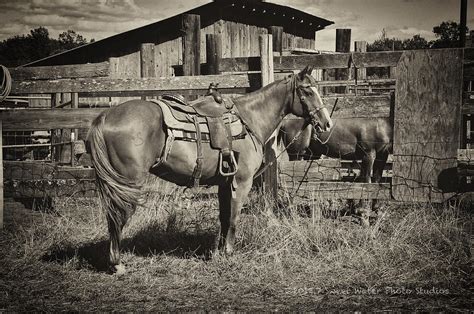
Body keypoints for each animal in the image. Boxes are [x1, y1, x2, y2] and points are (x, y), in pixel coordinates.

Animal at [89, 67, 334, 274]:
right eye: (307, 91)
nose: (327, 123)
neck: (249, 120)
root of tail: (105, 116)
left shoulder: (224, 183)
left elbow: (224, 218)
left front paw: (217, 251)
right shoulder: (241, 182)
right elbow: (234, 218)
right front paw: (229, 252)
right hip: (128, 184)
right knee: (117, 217)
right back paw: (117, 263)